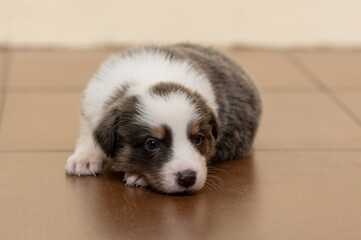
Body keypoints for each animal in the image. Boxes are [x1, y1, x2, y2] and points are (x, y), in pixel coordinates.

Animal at [65, 43, 262, 193]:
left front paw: (139, 176)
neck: (150, 78)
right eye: (152, 144)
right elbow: (89, 134)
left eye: (198, 138)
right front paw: (85, 159)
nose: (188, 178)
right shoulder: (91, 106)